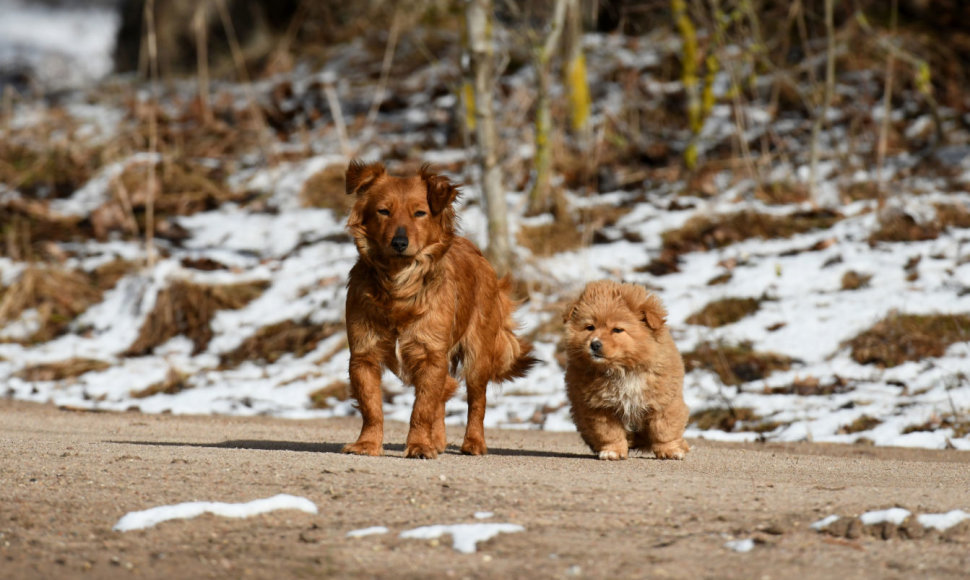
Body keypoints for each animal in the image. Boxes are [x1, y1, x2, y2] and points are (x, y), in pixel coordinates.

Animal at [340, 161, 536, 460]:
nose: (399, 242)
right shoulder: (364, 355)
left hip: (478, 356)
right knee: (442, 398)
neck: (399, 283)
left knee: (476, 402)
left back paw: (473, 443)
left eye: (420, 213)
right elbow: (372, 407)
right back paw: (438, 441)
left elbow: (422, 408)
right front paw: (368, 444)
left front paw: (419, 445)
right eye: (383, 211)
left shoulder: (431, 355)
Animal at [560, 280, 688, 462]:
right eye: (590, 327)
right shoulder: (601, 408)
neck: (623, 371)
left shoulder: (663, 403)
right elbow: (609, 433)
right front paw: (612, 452)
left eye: (617, 330)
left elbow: (664, 430)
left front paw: (670, 451)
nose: (594, 344)